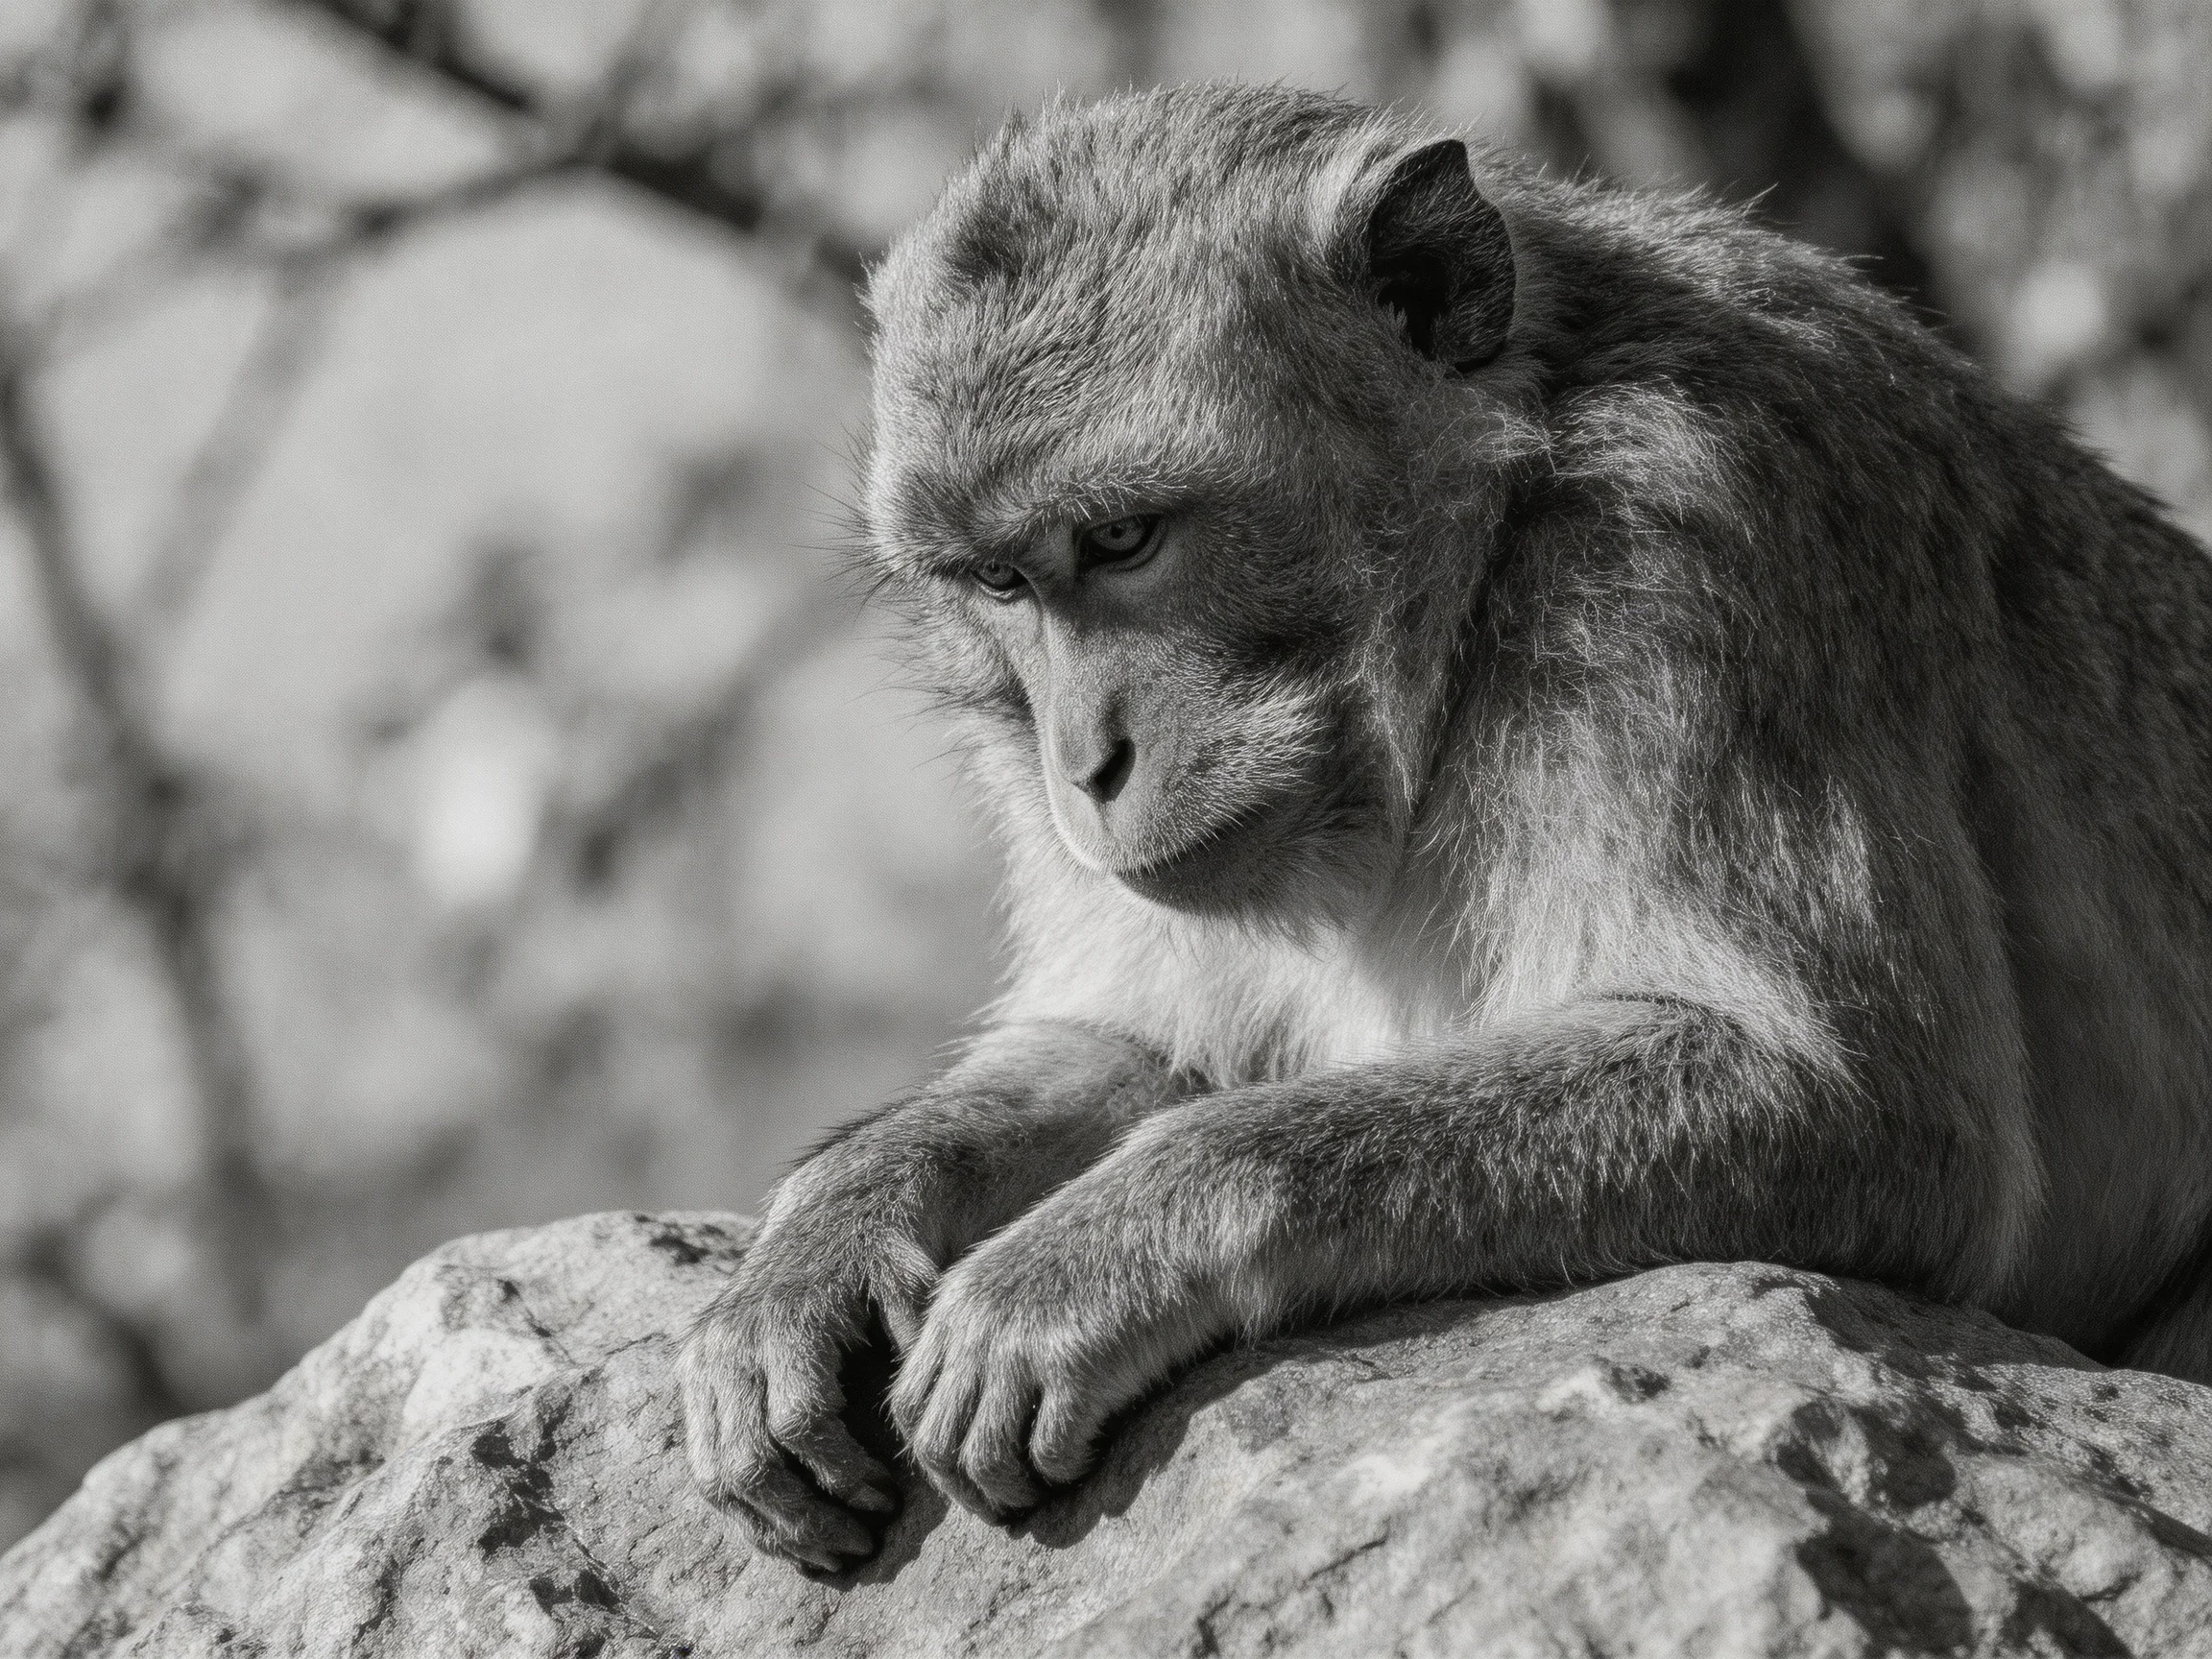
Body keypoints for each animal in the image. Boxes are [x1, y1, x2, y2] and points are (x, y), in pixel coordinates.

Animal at [676, 83, 2212, 1571]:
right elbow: (1149, 1050)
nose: (1084, 767)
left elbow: (1872, 1105)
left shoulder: (1704, 556)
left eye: (1121, 543)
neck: (1497, 546)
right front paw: (833, 1228)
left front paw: (1096, 1253)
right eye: (1001, 586)